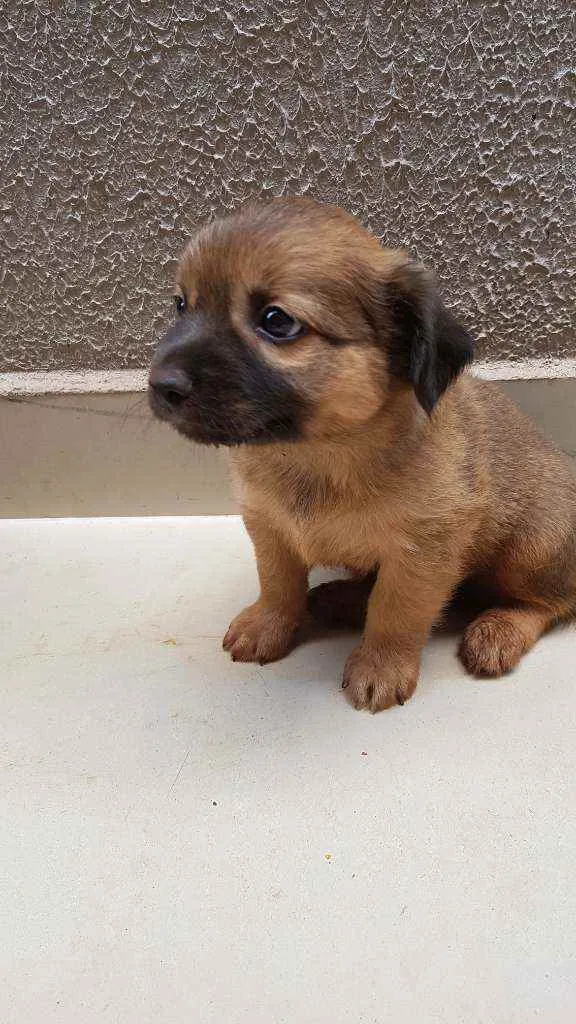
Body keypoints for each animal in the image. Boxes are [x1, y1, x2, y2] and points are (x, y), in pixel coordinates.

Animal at [148, 197, 573, 712]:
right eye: (180, 305)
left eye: (277, 321)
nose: (161, 385)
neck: (319, 455)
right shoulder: (269, 527)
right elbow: (278, 584)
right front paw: (268, 625)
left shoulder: (421, 553)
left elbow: (394, 610)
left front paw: (380, 667)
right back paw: (340, 599)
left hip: (530, 550)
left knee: (549, 603)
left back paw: (498, 630)